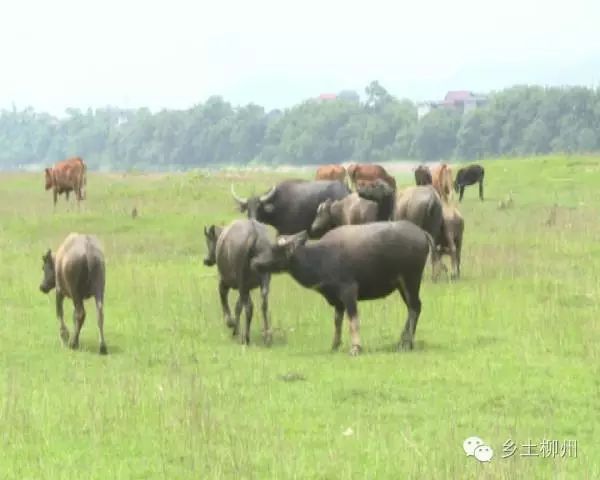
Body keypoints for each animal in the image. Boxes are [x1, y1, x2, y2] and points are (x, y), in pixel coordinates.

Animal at [251, 220, 434, 352]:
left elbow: (353, 320)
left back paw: (407, 342)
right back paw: (403, 341)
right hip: (402, 285)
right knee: (413, 308)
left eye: (274, 249)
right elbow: (337, 322)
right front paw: (335, 344)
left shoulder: (349, 291)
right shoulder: (337, 301)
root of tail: (421, 233)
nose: (255, 262)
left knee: (415, 307)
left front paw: (356, 347)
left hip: (411, 280)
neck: (322, 257)